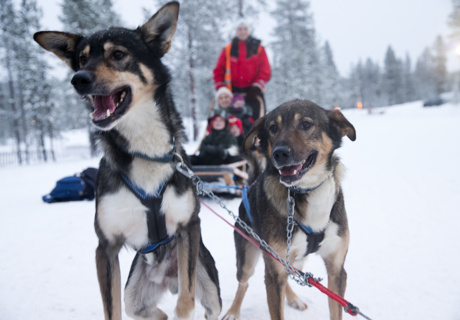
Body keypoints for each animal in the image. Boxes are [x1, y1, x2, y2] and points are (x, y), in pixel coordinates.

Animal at [33, 2, 221, 320]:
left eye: (118, 54)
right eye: (81, 59)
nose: (78, 79)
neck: (145, 151)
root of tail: (165, 277)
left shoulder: (189, 228)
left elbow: (186, 300)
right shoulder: (106, 247)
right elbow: (112, 310)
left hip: (208, 284)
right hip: (135, 295)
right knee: (154, 312)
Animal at [225, 100, 358, 320]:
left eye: (306, 124)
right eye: (273, 128)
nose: (279, 153)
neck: (306, 191)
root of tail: (250, 185)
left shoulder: (337, 270)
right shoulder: (273, 274)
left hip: (293, 261)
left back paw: (294, 299)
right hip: (247, 258)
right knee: (243, 282)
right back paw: (233, 311)